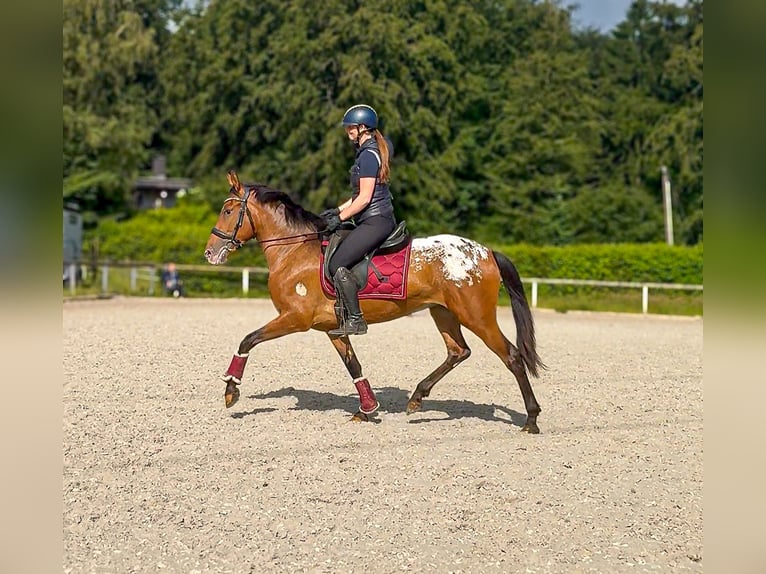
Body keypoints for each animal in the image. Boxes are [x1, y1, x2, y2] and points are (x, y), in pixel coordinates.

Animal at [204, 170, 545, 433]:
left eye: (227, 211)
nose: (210, 253)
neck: (295, 252)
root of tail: (487, 252)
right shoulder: (332, 328)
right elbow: (354, 365)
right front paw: (366, 409)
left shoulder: (294, 319)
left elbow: (248, 339)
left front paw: (231, 389)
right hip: (444, 313)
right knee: (458, 351)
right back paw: (417, 398)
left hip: (476, 316)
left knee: (512, 357)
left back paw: (530, 419)